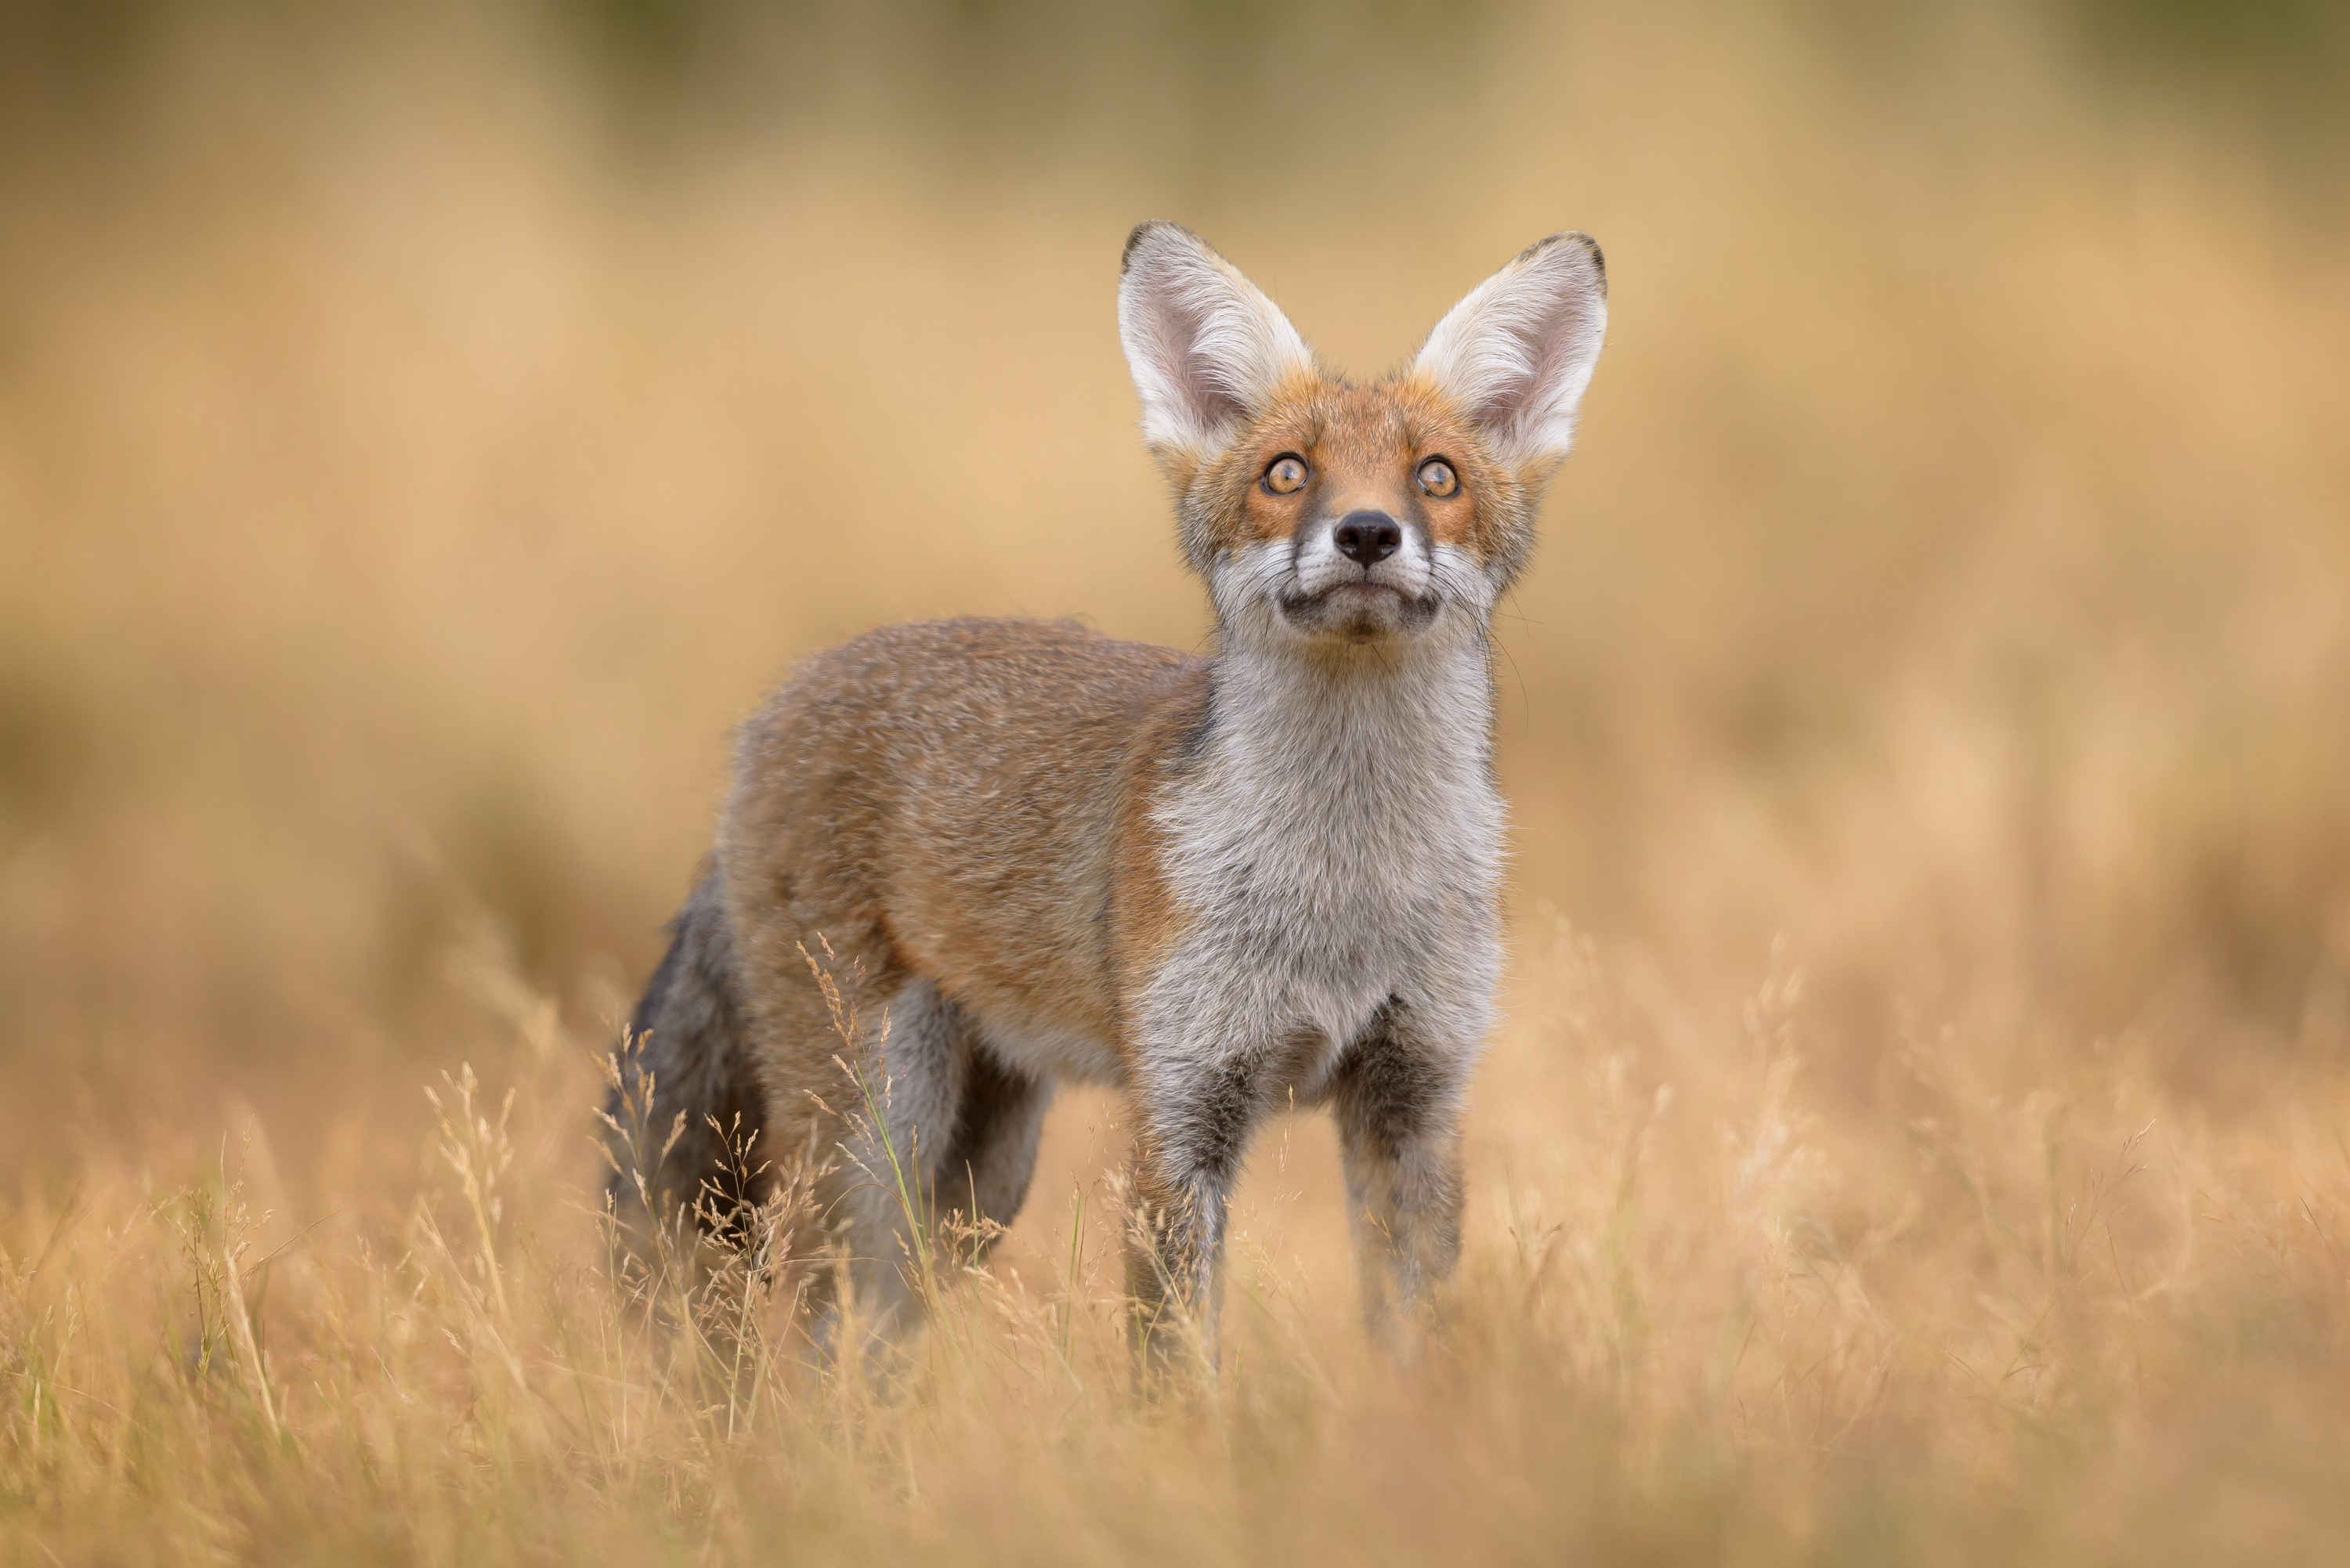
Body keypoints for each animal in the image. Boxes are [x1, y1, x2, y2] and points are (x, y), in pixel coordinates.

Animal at [606, 220, 1608, 1369]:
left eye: (1435, 476)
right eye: (1288, 472)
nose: (1365, 532)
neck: (1340, 896)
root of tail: (775, 704)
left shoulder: (1414, 1100)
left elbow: (1414, 1351)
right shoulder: (1180, 1108)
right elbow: (1174, 1367)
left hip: (977, 1179)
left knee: (884, 1333)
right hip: (873, 1133)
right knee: (819, 1334)